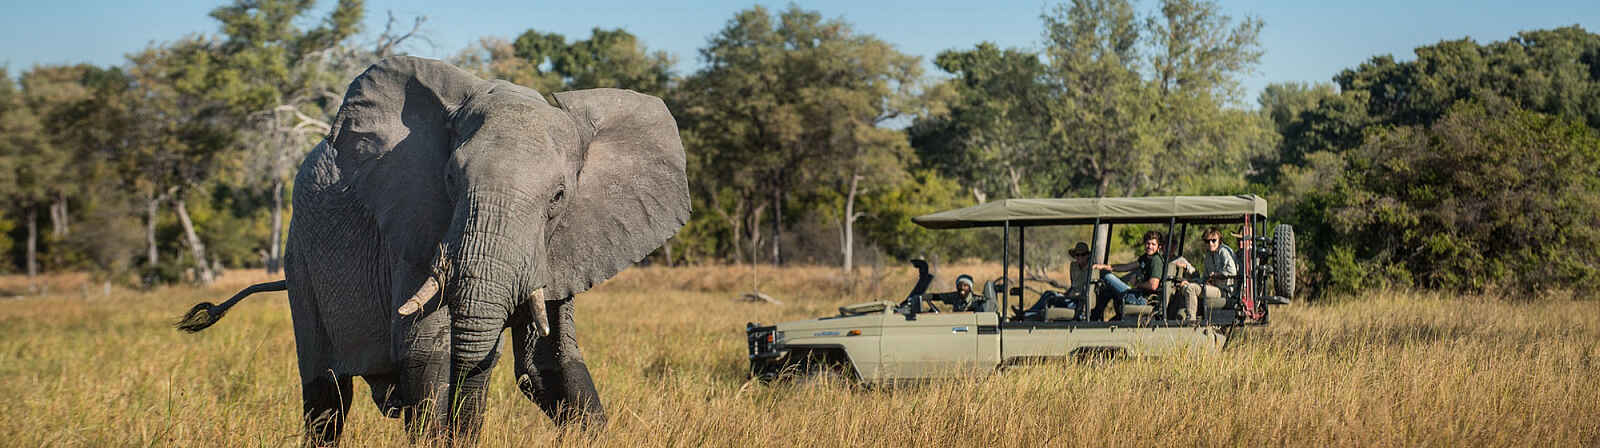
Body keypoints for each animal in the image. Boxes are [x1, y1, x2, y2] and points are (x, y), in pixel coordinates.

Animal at [175, 56, 689, 444]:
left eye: (559, 198)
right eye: (450, 180)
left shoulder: (566, 244)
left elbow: (552, 363)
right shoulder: (410, 229)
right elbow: (428, 352)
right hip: (299, 254)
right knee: (327, 397)